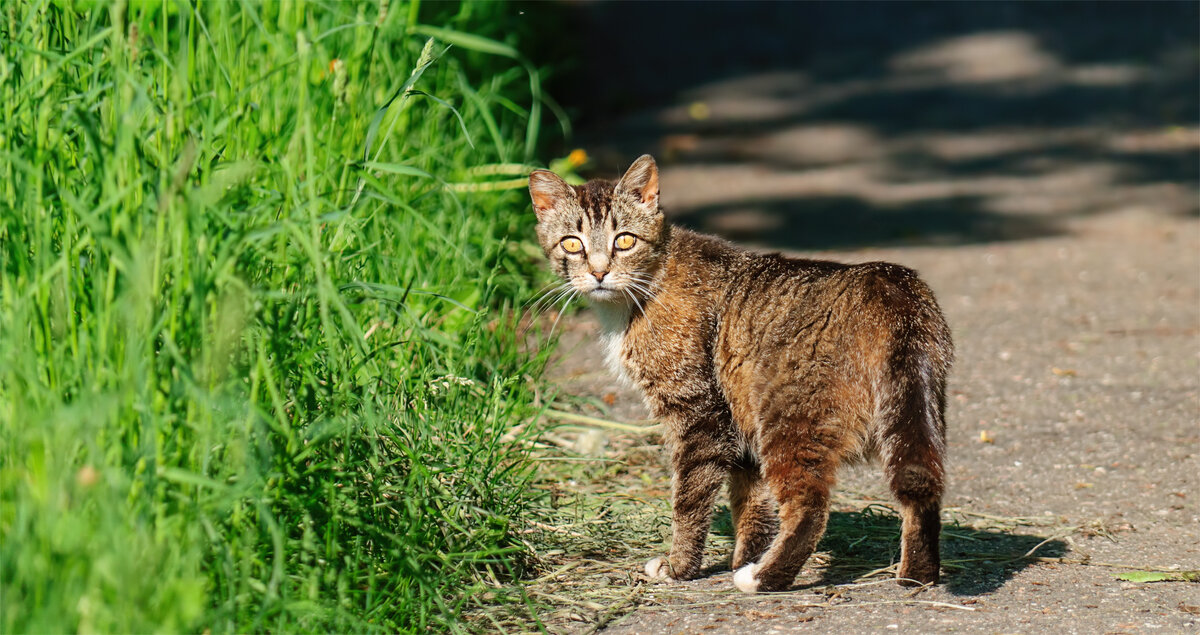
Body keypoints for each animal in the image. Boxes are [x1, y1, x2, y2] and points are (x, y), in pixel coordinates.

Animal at [530, 156, 950, 590]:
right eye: (572, 243)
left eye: (625, 241)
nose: (599, 273)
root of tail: (892, 285)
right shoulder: (739, 424)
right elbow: (751, 502)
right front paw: (743, 555)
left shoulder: (699, 416)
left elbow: (689, 500)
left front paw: (681, 566)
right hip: (910, 418)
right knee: (922, 488)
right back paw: (916, 576)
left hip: (790, 424)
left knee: (810, 508)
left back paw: (764, 578)